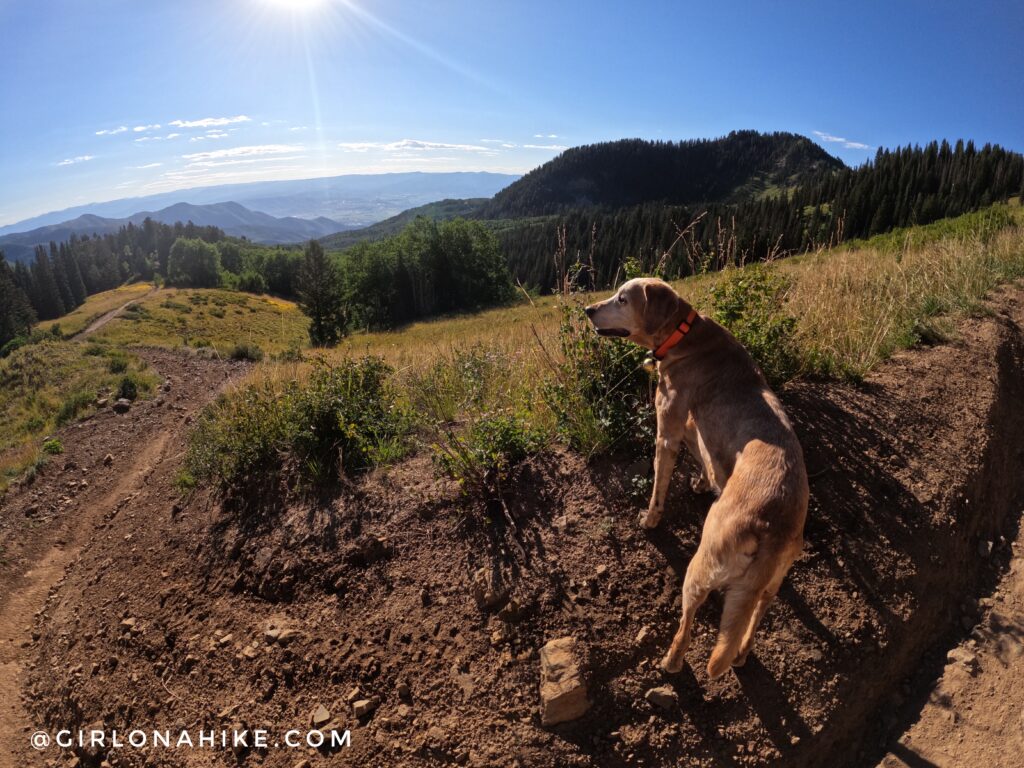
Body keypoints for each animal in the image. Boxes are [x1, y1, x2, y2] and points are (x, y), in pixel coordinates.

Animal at [585, 278, 806, 679]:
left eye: (622, 299)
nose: (588, 310)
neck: (684, 336)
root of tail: (773, 524)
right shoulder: (695, 428)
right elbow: (704, 457)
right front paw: (704, 483)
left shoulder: (666, 431)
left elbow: (658, 487)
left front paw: (650, 519)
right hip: (769, 585)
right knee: (752, 620)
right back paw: (741, 655)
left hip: (702, 564)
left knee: (687, 620)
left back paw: (671, 660)